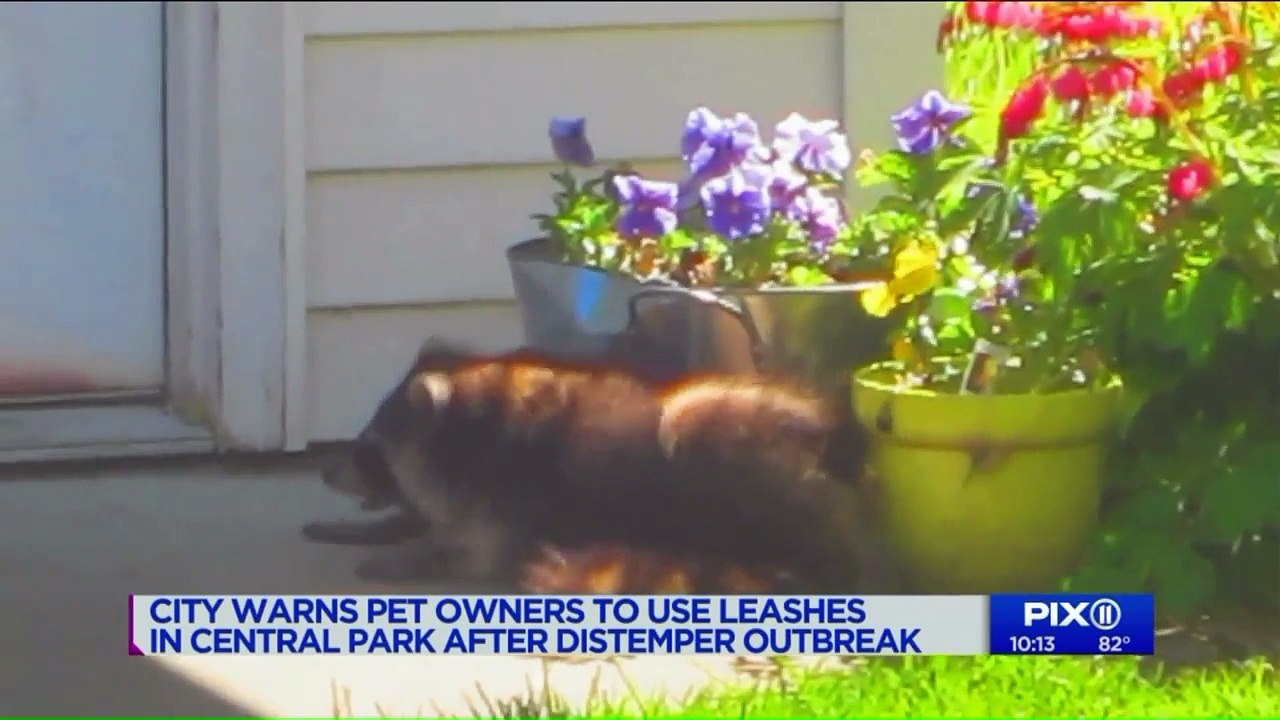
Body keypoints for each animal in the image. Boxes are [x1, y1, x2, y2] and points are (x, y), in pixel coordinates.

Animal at [305, 339, 889, 593]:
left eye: (369, 447)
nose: (327, 469)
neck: (467, 429)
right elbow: (422, 520)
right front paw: (371, 529)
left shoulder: (510, 500)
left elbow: (474, 553)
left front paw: (410, 555)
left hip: (711, 438)